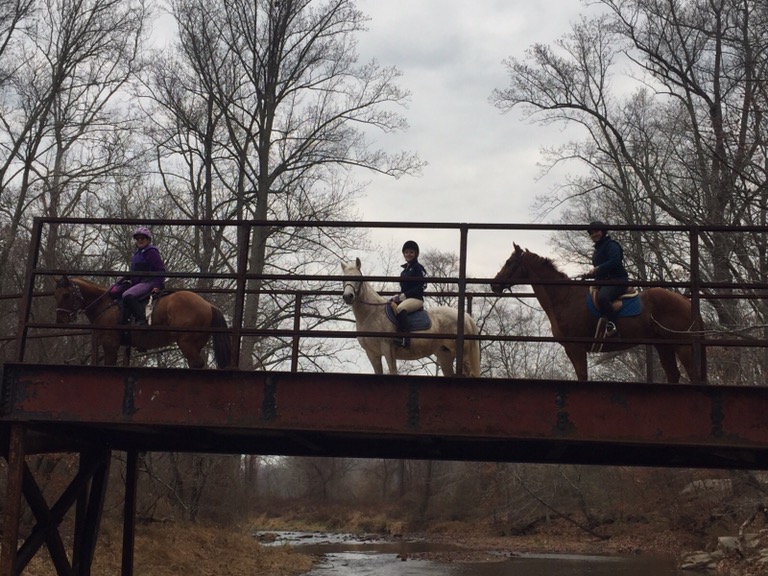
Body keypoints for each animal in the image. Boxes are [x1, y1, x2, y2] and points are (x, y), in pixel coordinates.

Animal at [54, 276, 231, 369]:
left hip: (186, 342)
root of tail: (208, 305)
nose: (60, 319)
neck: (106, 305)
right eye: (56, 295)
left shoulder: (110, 343)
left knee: (196, 364)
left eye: (66, 295)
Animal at [341, 258, 481, 377]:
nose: (348, 296)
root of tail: (466, 316)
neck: (371, 313)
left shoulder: (388, 349)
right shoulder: (372, 353)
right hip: (444, 355)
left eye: (357, 278)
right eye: (343, 279)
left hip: (463, 354)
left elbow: (393, 372)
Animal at [490, 244, 705, 383]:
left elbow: (582, 376)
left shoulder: (575, 348)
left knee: (693, 374)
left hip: (683, 345)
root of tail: (685, 300)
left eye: (510, 262)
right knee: (673, 375)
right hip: (664, 346)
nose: (494, 285)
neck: (564, 297)